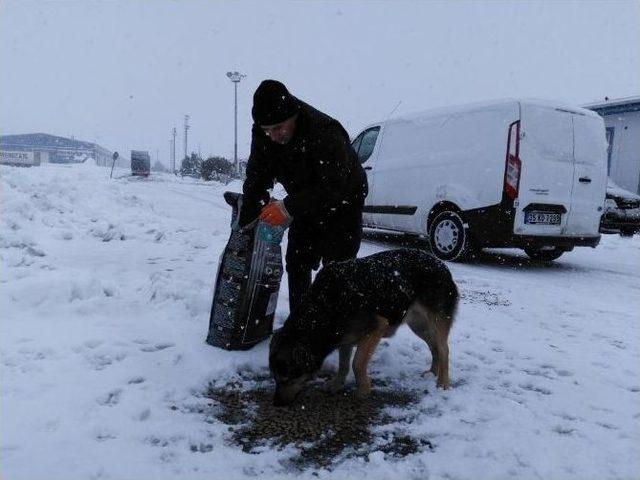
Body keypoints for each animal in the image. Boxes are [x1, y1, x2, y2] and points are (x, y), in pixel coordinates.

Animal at [268, 249, 458, 406]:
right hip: (419, 325)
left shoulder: (376, 328)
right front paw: (337, 384)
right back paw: (432, 372)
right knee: (434, 347)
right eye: (275, 378)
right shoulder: (344, 336)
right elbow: (344, 364)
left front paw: (363, 390)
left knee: (444, 349)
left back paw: (442, 382)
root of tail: (444, 266)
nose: (276, 403)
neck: (323, 307)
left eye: (287, 379)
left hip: (436, 321)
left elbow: (357, 362)